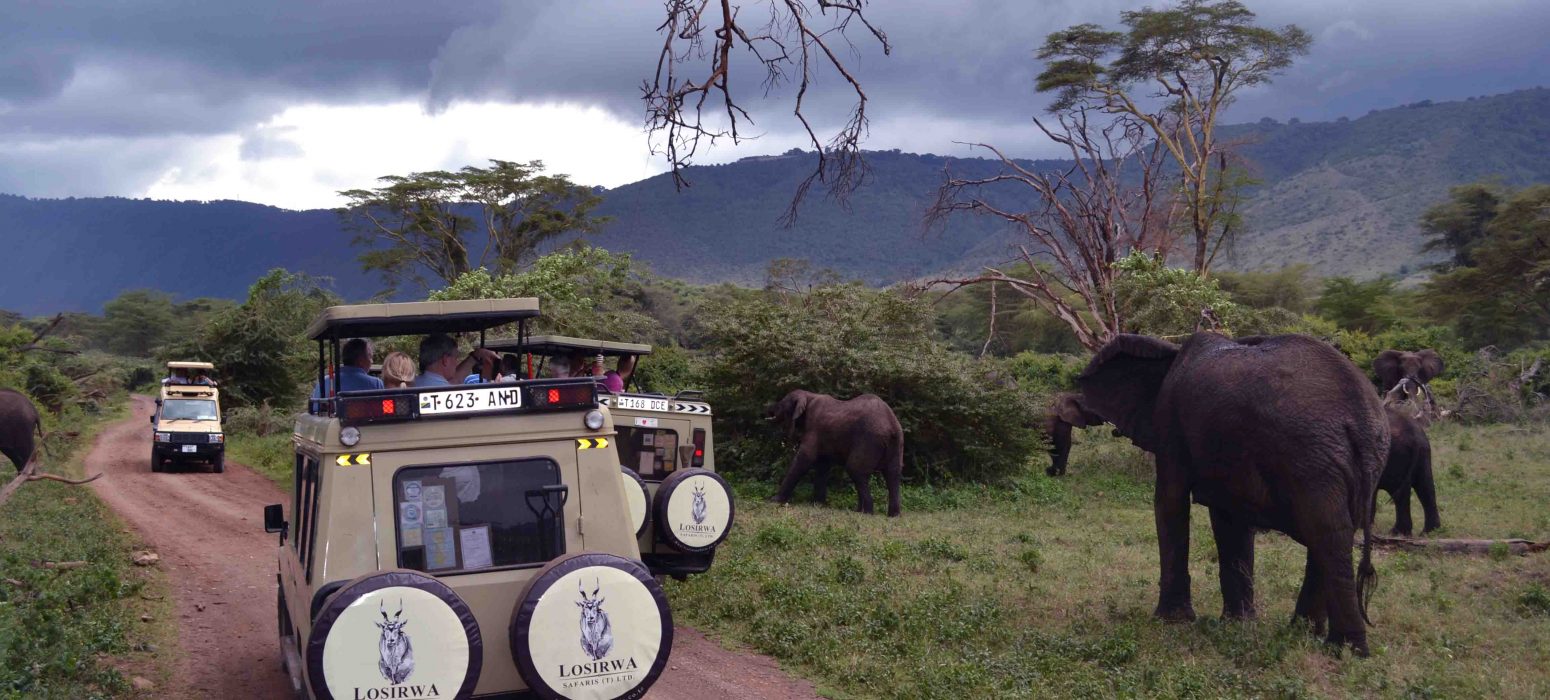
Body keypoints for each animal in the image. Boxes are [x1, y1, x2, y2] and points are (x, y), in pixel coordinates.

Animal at [765, 390, 905, 517]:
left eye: (782, 403)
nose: (768, 410)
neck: (809, 395)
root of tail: (891, 425)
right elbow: (823, 465)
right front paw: (818, 504)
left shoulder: (814, 427)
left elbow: (805, 458)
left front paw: (774, 501)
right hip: (897, 443)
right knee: (893, 474)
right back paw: (892, 515)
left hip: (869, 440)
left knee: (855, 470)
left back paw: (866, 513)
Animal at [1078, 332, 1395, 656]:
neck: (1169, 353)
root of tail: (1361, 418)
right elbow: (1230, 522)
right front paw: (1237, 624)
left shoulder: (1170, 423)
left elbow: (1170, 502)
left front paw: (1171, 622)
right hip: (1352, 457)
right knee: (1332, 534)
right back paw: (1307, 635)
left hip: (1311, 455)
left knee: (1326, 532)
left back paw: (1344, 649)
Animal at [1382, 405, 1438, 535]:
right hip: (1423, 451)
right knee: (1426, 487)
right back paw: (1429, 532)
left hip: (1396, 454)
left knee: (1398, 491)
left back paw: (1397, 532)